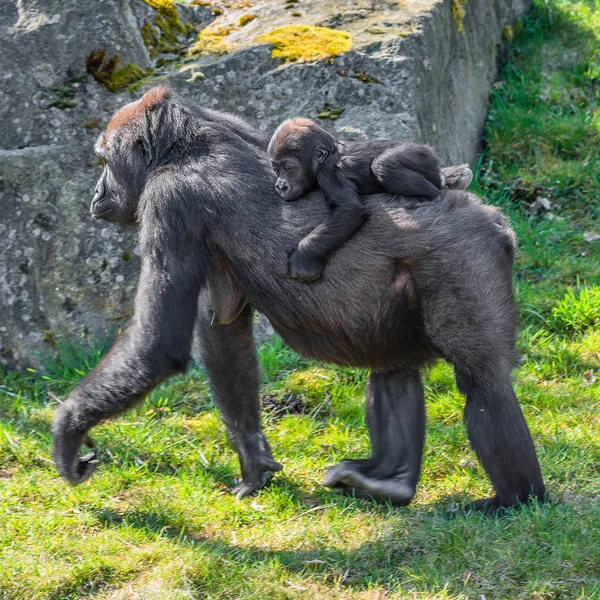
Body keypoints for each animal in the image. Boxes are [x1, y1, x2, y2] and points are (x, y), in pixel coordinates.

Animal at [268, 119, 468, 284]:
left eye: (289, 168)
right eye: (276, 169)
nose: (281, 186)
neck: (328, 152)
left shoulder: (328, 172)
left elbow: (349, 209)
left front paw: (304, 258)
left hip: (421, 155)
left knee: (384, 165)